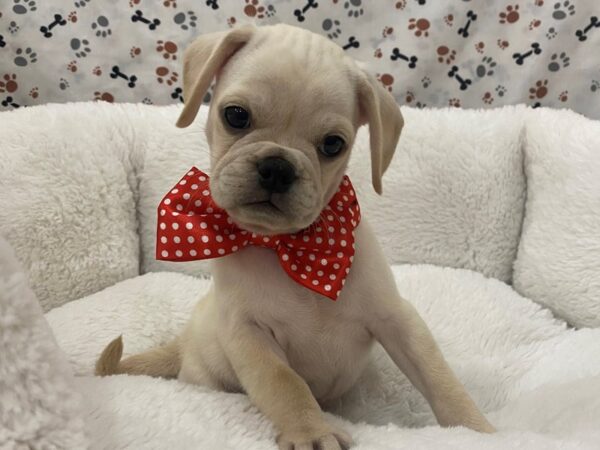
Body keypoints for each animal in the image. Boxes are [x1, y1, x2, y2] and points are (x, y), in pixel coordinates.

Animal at [97, 23, 492, 450]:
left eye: (333, 144)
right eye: (235, 116)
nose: (277, 167)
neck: (290, 247)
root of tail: (183, 341)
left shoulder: (397, 319)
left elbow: (438, 376)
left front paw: (477, 430)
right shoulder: (248, 334)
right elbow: (284, 383)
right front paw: (311, 431)